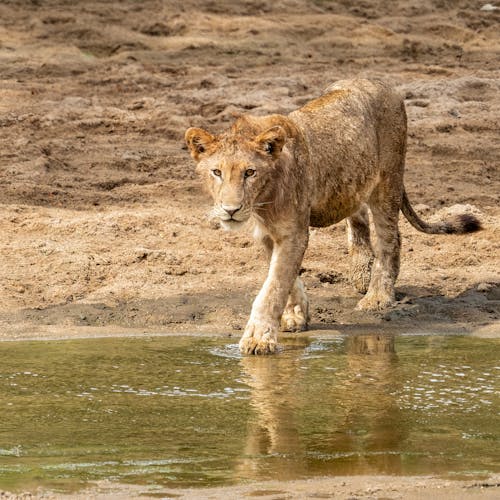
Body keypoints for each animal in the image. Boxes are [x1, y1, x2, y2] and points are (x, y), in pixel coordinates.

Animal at [185, 78, 480, 354]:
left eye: (250, 172)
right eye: (216, 172)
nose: (230, 210)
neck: (261, 200)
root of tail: (380, 82)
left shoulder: (293, 231)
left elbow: (274, 287)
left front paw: (259, 338)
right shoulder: (269, 233)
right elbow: (286, 278)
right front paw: (296, 314)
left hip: (388, 181)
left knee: (391, 239)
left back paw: (377, 297)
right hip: (354, 180)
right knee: (357, 216)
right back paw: (361, 273)